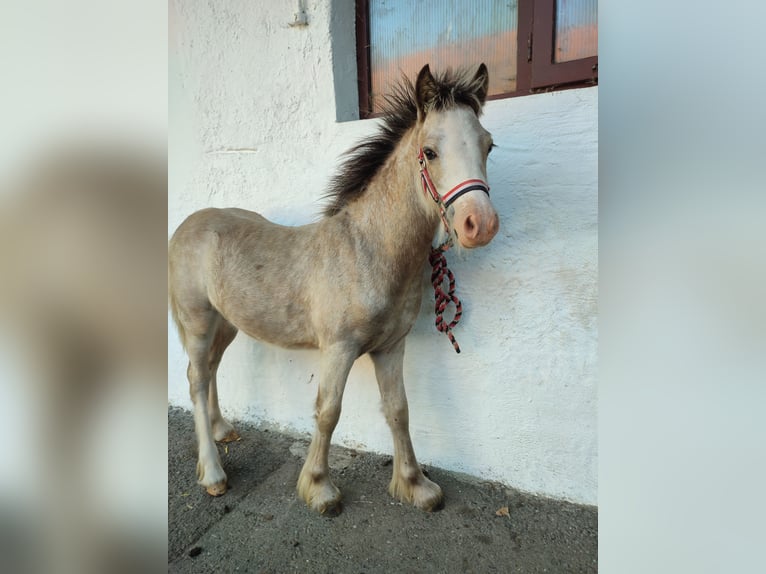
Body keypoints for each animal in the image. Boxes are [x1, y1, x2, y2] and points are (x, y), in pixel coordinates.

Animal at [170, 64, 500, 516]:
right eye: (430, 152)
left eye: (488, 145)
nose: (479, 225)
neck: (368, 250)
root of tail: (187, 226)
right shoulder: (339, 349)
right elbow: (328, 412)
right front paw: (319, 488)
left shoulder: (391, 347)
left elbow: (399, 410)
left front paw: (416, 486)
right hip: (199, 323)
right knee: (197, 380)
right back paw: (214, 473)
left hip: (227, 324)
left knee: (211, 370)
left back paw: (223, 431)